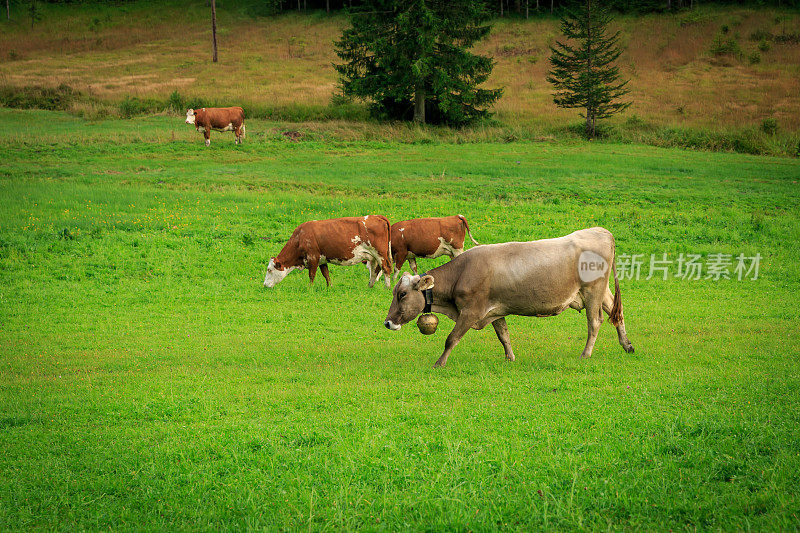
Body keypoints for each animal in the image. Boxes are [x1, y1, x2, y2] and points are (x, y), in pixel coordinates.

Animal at [264, 216, 392, 288]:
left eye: (269, 270)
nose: (264, 285)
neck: (300, 237)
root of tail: (376, 216)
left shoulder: (313, 257)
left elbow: (312, 275)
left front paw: (309, 288)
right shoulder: (322, 260)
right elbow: (326, 274)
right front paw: (329, 287)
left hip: (380, 254)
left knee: (386, 269)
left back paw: (387, 287)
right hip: (373, 257)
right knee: (375, 271)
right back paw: (370, 286)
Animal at [384, 227, 636, 368]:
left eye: (402, 294)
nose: (387, 322)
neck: (462, 272)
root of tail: (601, 231)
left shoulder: (471, 312)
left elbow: (451, 338)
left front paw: (439, 363)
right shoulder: (495, 311)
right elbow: (503, 336)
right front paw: (510, 358)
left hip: (592, 290)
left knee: (595, 322)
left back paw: (586, 354)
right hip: (602, 292)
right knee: (617, 313)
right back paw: (627, 345)